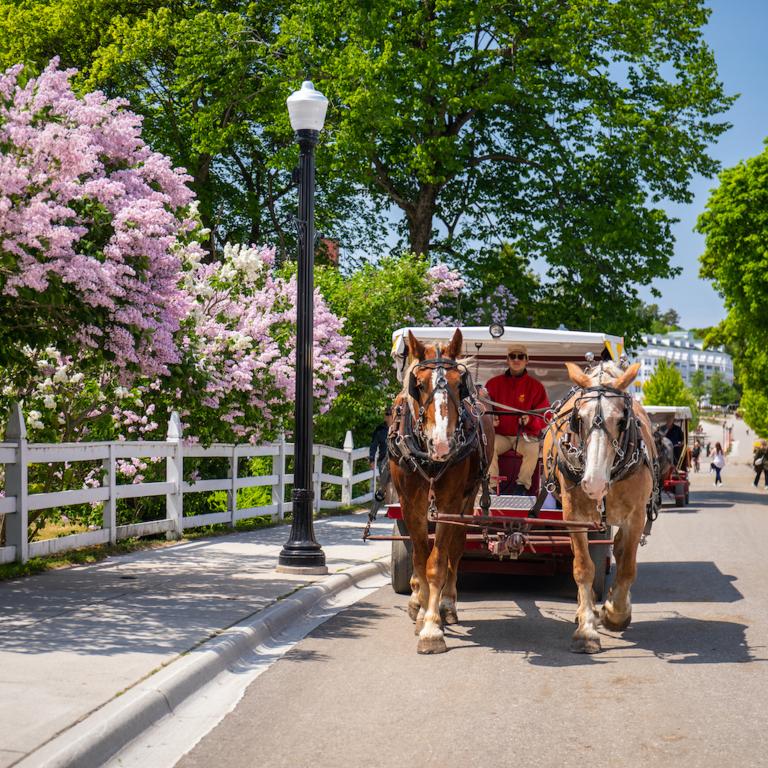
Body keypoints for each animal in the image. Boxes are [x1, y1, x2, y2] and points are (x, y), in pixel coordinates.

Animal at [388, 328, 494, 654]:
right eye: (419, 385)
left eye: (460, 385)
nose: (443, 444)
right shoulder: (410, 504)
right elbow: (420, 558)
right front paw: (422, 611)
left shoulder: (449, 502)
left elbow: (437, 562)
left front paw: (433, 628)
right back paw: (416, 601)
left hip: (467, 498)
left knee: (454, 549)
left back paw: (447, 604)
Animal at [543, 360, 657, 654]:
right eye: (578, 419)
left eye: (621, 420)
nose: (594, 483)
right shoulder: (573, 515)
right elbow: (583, 567)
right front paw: (586, 629)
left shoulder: (636, 517)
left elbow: (627, 567)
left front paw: (615, 613)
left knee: (619, 549)